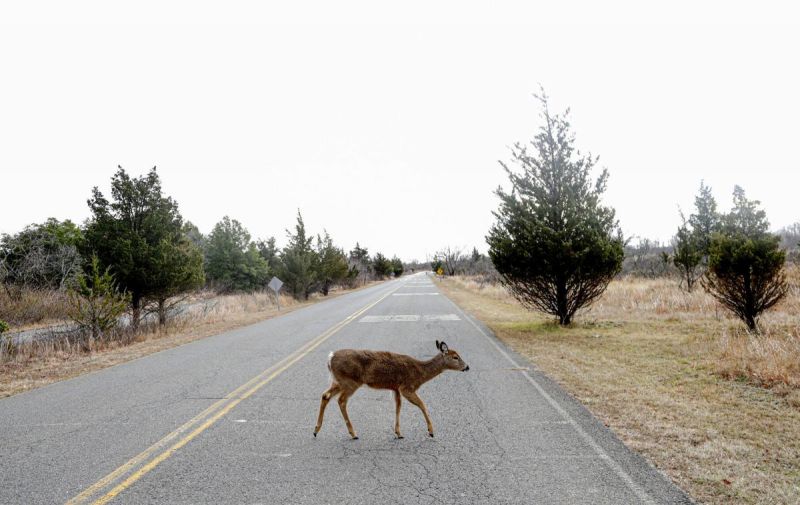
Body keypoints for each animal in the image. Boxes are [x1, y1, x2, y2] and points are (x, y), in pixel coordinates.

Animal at [313, 340, 469, 439]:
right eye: (455, 357)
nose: (467, 367)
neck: (420, 373)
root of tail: (330, 358)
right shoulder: (407, 387)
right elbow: (422, 405)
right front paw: (431, 431)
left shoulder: (396, 388)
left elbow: (398, 407)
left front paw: (398, 433)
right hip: (350, 382)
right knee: (341, 401)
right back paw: (353, 433)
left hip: (339, 381)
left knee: (325, 395)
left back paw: (316, 430)